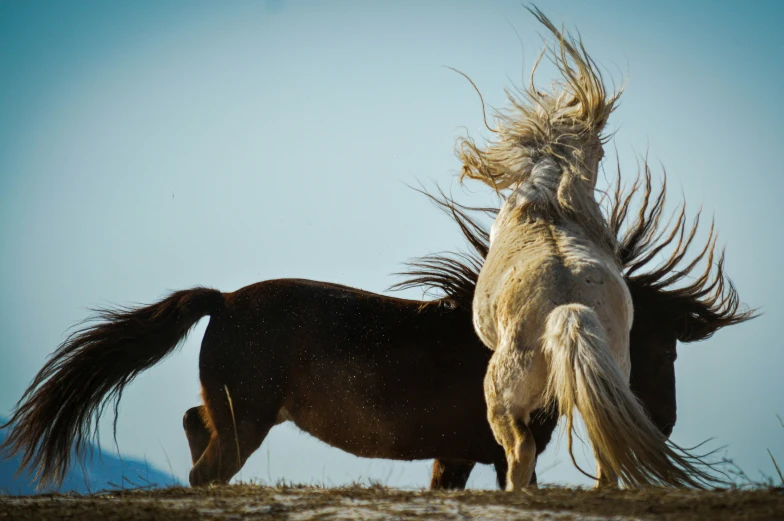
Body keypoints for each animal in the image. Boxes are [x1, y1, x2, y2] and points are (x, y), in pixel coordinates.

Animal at [0, 169, 752, 490]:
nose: (662, 421)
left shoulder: (458, 455)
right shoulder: (492, 447)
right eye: (659, 345)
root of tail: (223, 300)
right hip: (248, 418)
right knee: (207, 461)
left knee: (194, 429)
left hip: (234, 410)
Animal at [462, 8, 720, 490]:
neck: (544, 203)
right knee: (607, 454)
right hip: (607, 385)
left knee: (520, 451)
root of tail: (567, 308)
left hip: (503, 398)